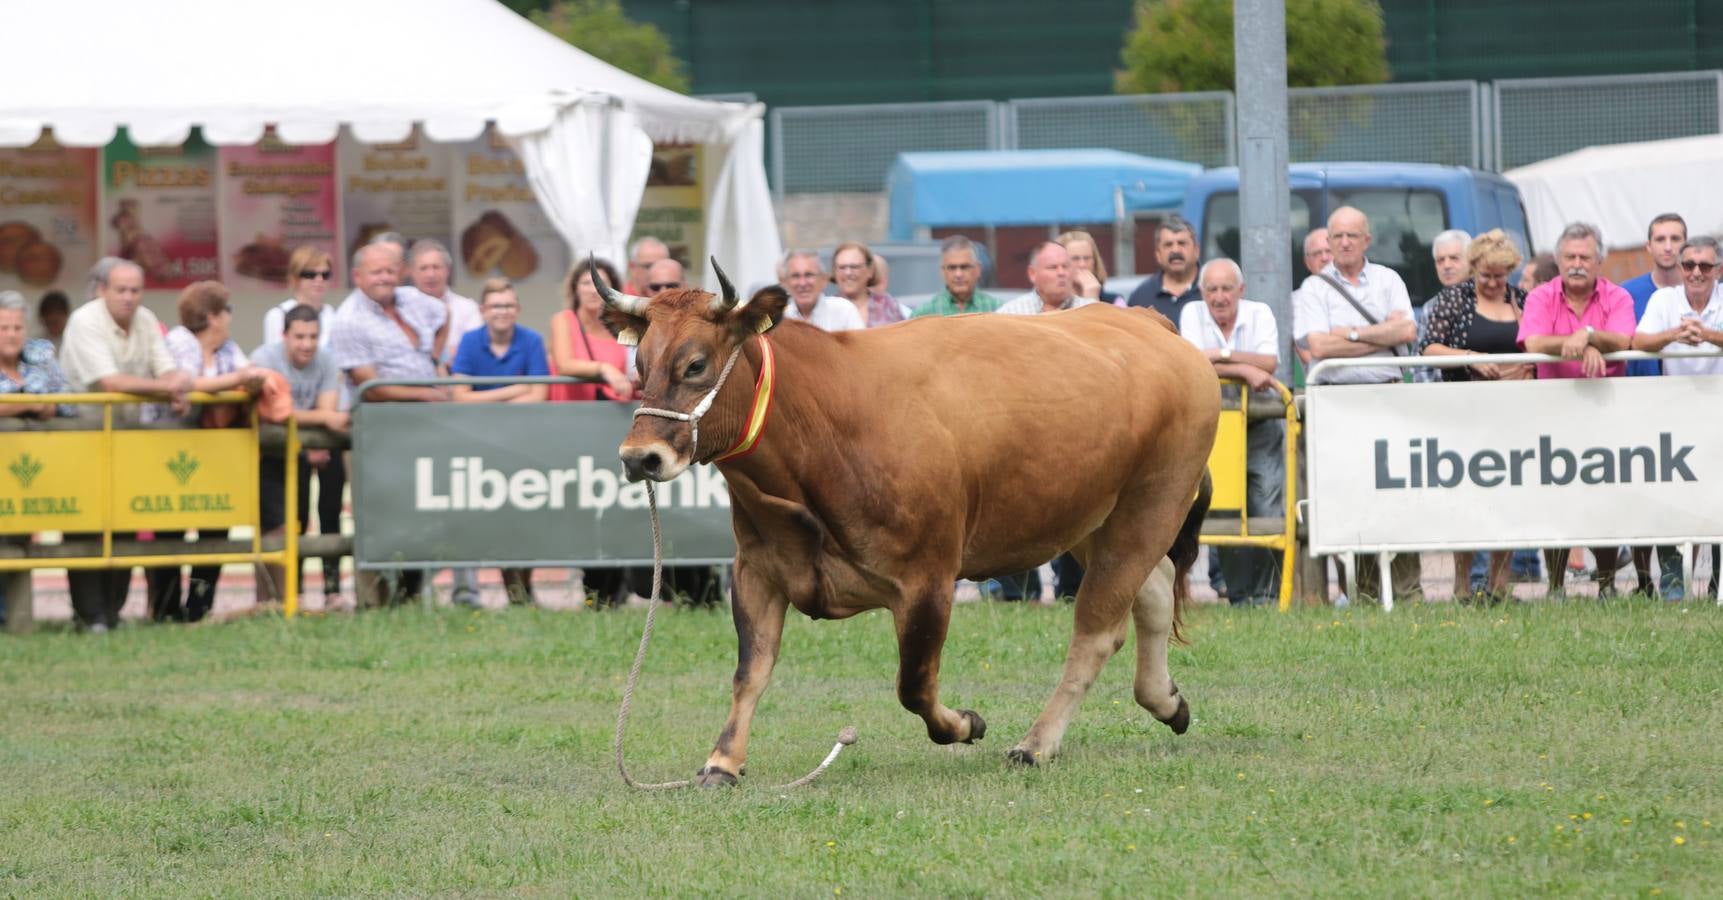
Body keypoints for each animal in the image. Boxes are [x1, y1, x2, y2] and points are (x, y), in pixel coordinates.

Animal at [599, 262, 1219, 779]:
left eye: (696, 364)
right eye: (640, 363)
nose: (638, 457)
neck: (824, 426)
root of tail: (1147, 322)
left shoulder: (927, 580)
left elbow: (914, 686)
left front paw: (966, 724)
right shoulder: (758, 570)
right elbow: (750, 671)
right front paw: (723, 761)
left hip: (1149, 506)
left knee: (1096, 630)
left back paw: (1037, 742)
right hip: (1089, 519)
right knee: (1154, 591)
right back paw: (1166, 700)